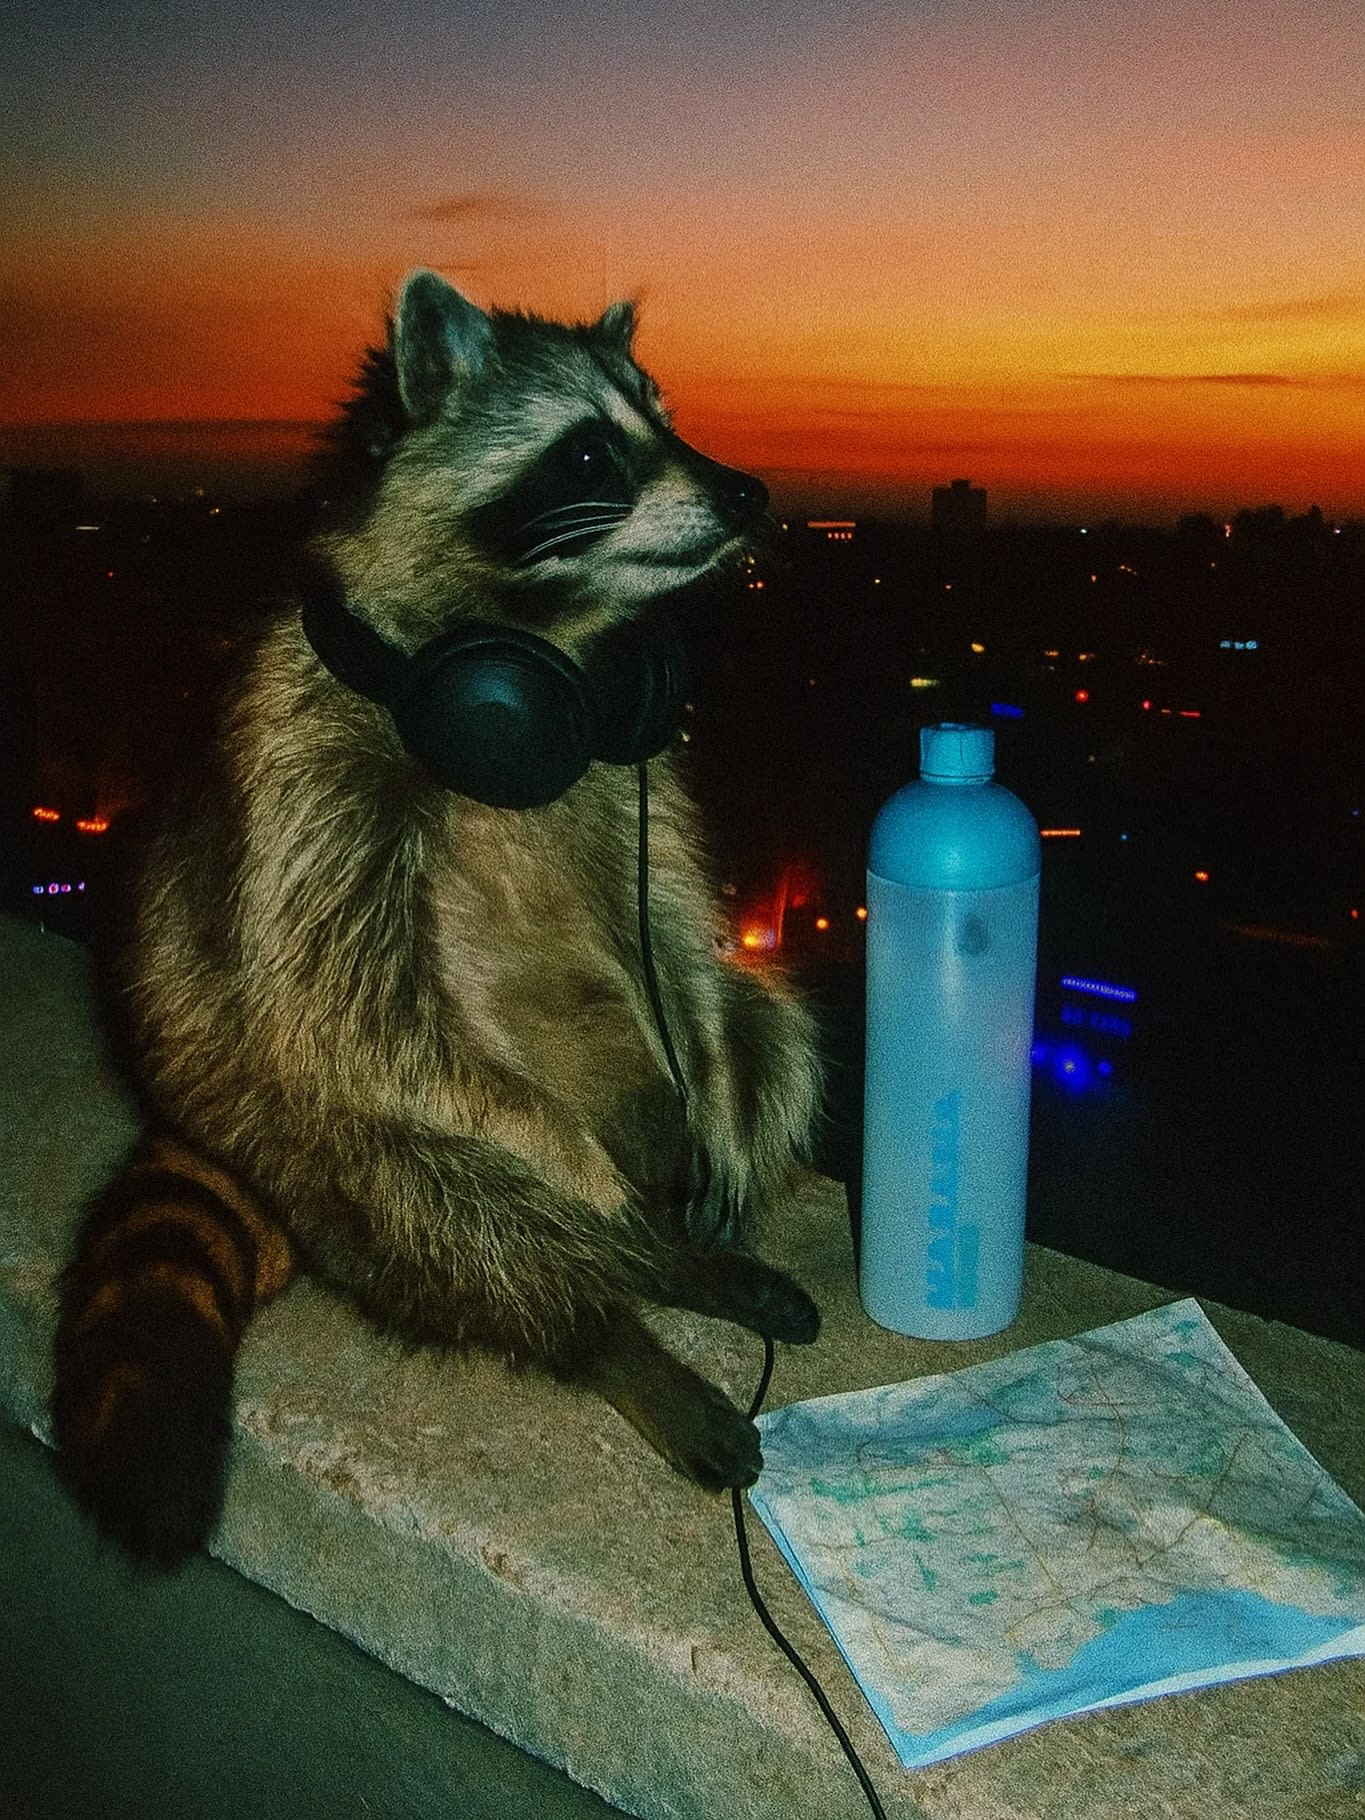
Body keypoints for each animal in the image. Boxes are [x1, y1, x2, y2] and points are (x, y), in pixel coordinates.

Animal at [53, 270, 824, 1566]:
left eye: (667, 420)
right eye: (588, 451)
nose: (746, 491)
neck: (530, 643)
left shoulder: (633, 756)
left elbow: (675, 927)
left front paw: (710, 1100)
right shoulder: (301, 769)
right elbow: (349, 1015)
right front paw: (604, 1264)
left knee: (768, 1035)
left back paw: (691, 1247)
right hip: (306, 1139)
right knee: (450, 1200)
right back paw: (618, 1322)